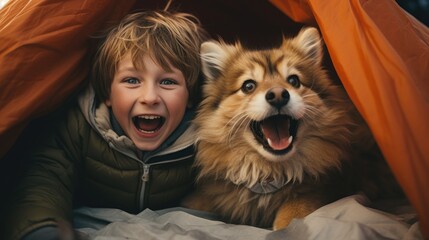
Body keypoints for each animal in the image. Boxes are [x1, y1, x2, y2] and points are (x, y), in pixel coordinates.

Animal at [182, 27, 400, 230]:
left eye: (294, 81)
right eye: (248, 86)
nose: (278, 95)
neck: (269, 174)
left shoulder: (321, 190)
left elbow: (294, 210)